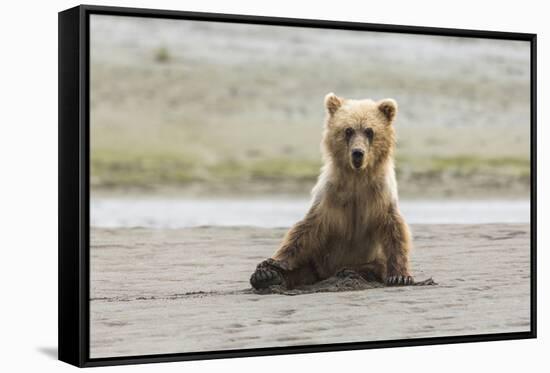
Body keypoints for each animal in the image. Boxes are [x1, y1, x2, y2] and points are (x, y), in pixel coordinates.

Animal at [250, 91, 414, 290]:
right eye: (348, 130)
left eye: (369, 131)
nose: (357, 153)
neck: (356, 177)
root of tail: (325, 274)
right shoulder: (330, 195)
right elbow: (305, 230)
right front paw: (273, 262)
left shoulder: (380, 195)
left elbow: (394, 230)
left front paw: (400, 276)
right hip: (316, 261)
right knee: (302, 268)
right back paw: (266, 276)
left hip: (369, 259)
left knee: (373, 266)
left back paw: (352, 272)